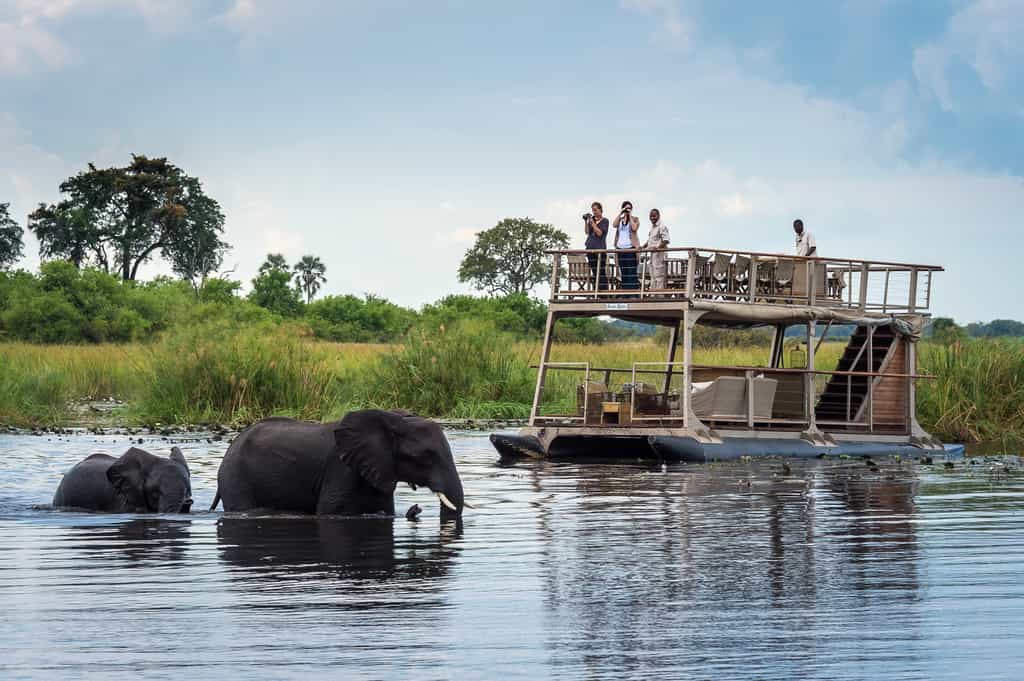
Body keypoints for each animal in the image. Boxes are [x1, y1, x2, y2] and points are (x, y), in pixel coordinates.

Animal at [210, 410, 465, 521]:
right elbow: (331, 512)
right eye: (425, 456)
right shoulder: (341, 469)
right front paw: (413, 511)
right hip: (235, 475)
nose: (417, 507)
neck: (392, 419)